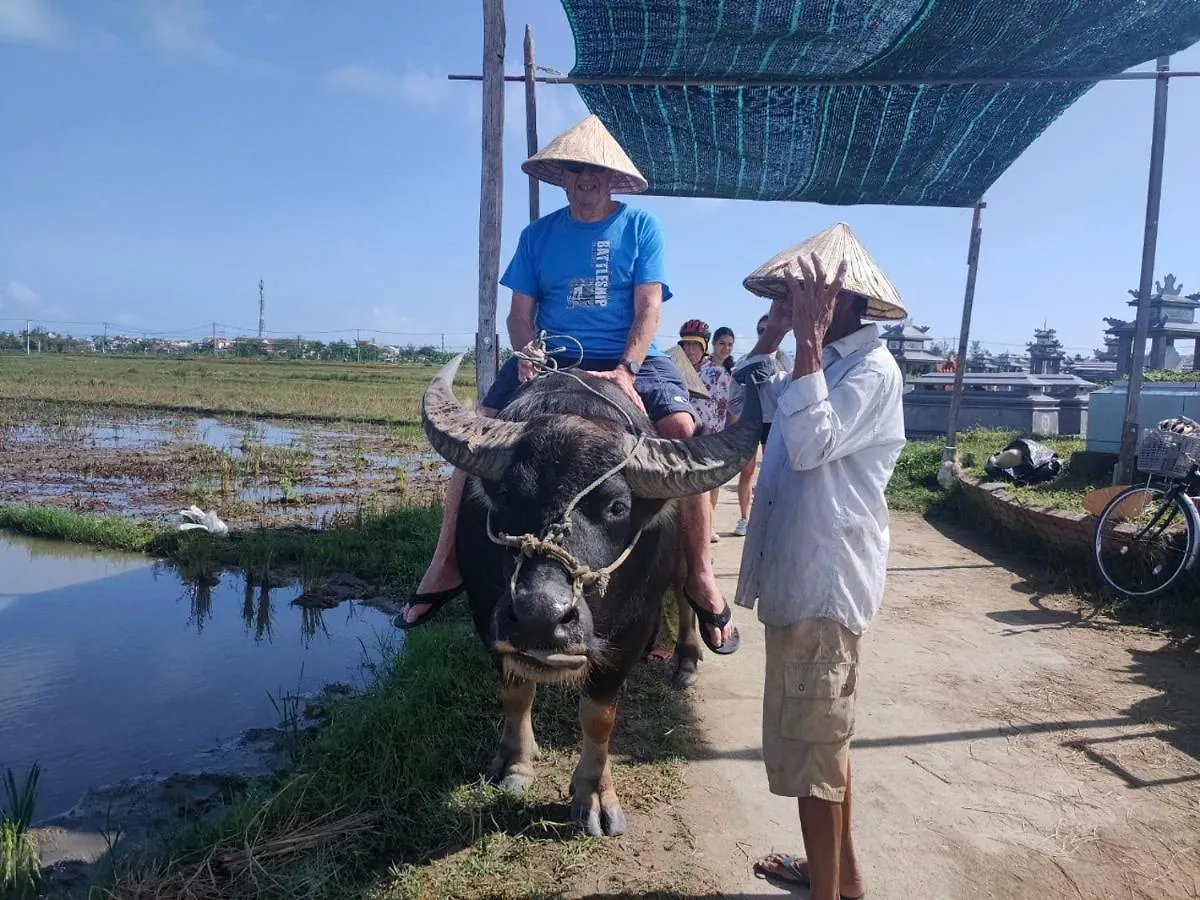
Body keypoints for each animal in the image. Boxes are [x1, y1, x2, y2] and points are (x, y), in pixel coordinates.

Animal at [422, 355, 758, 840]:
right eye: (506, 496)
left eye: (616, 507)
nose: (540, 615)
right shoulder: (487, 617)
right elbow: (516, 692)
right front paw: (514, 765)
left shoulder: (628, 632)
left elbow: (599, 716)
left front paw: (595, 797)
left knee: (685, 590)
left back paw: (687, 659)